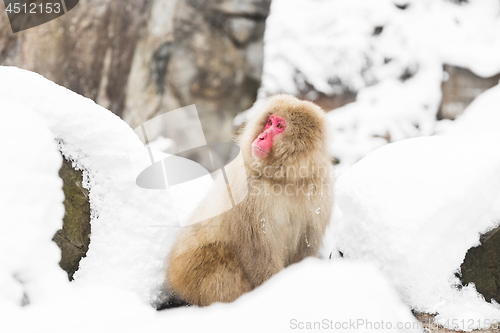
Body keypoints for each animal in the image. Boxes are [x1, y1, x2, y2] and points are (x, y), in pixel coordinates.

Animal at [166, 93, 334, 306]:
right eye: (269, 122)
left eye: (279, 126)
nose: (261, 137)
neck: (284, 179)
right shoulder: (247, 191)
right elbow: (257, 250)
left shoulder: (321, 188)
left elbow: (307, 243)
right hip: (187, 270)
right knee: (222, 258)